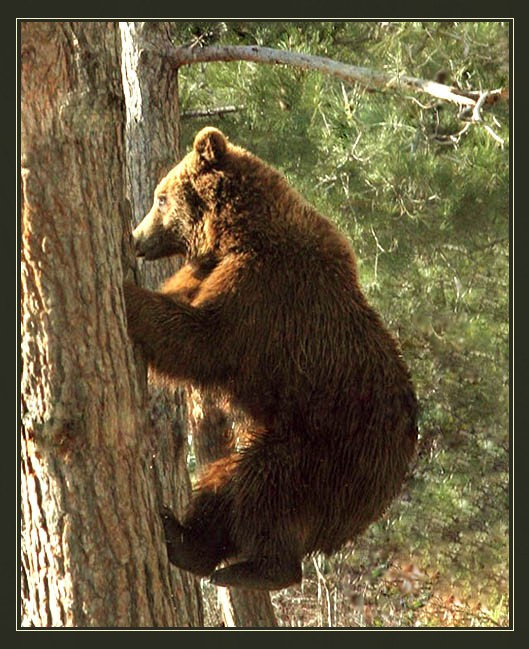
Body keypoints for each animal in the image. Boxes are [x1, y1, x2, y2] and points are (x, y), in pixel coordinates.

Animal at [123, 126, 418, 591]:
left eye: (160, 198)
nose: (136, 239)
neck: (236, 234)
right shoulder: (211, 272)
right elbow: (184, 310)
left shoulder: (264, 291)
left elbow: (203, 339)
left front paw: (128, 296)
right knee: (225, 482)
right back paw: (184, 539)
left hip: (325, 451)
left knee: (264, 483)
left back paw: (258, 568)